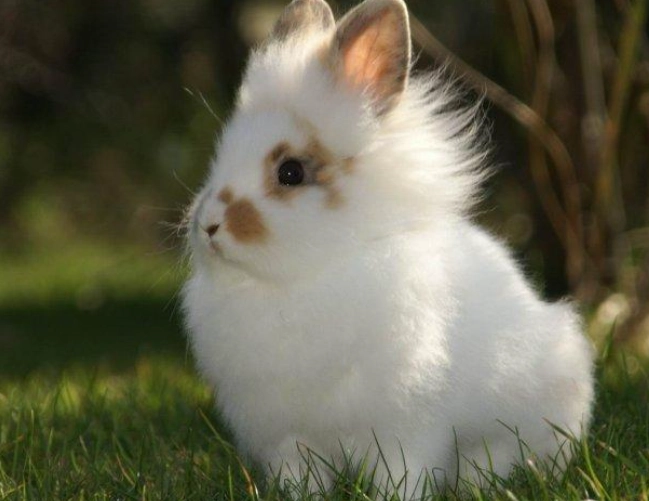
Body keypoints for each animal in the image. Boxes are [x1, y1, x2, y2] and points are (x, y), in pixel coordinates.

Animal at [181, 0, 595, 497]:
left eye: (290, 172)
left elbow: (403, 471)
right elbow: (300, 477)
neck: (301, 277)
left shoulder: (407, 427)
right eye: (219, 157)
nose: (209, 226)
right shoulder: (289, 437)